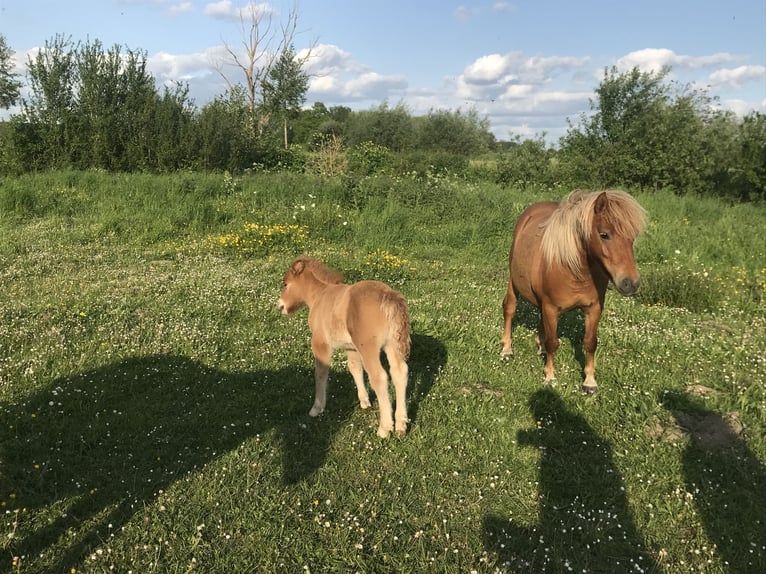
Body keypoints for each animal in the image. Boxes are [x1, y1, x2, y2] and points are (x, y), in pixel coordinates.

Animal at [274, 258, 408, 438]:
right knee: (399, 372)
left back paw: (384, 428)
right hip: (392, 345)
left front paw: (316, 408)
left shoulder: (320, 343)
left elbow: (320, 373)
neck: (319, 296)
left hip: (369, 348)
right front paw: (364, 401)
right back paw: (401, 425)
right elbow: (354, 368)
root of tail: (388, 295)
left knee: (379, 377)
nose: (280, 306)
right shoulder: (351, 348)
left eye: (285, 283)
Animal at [504, 191, 648, 394]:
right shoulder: (551, 308)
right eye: (604, 234)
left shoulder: (593, 309)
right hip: (514, 283)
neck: (574, 270)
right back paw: (506, 350)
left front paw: (590, 382)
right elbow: (553, 342)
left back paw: (540, 347)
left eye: (632, 237)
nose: (631, 283)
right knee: (509, 309)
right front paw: (550, 377)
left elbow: (590, 342)